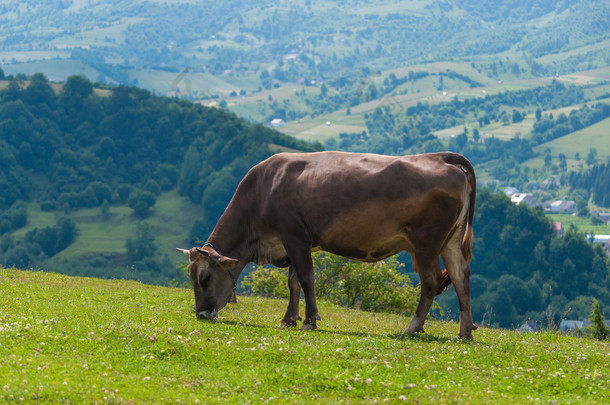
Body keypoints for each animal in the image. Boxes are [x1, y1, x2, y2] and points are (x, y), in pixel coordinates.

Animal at [176, 151, 476, 338]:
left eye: (204, 278)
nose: (201, 314)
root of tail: (439, 157)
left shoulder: (294, 236)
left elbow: (307, 279)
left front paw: (310, 321)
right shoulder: (295, 243)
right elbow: (293, 283)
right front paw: (289, 320)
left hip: (426, 242)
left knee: (431, 281)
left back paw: (413, 327)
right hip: (450, 242)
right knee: (461, 277)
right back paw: (464, 332)